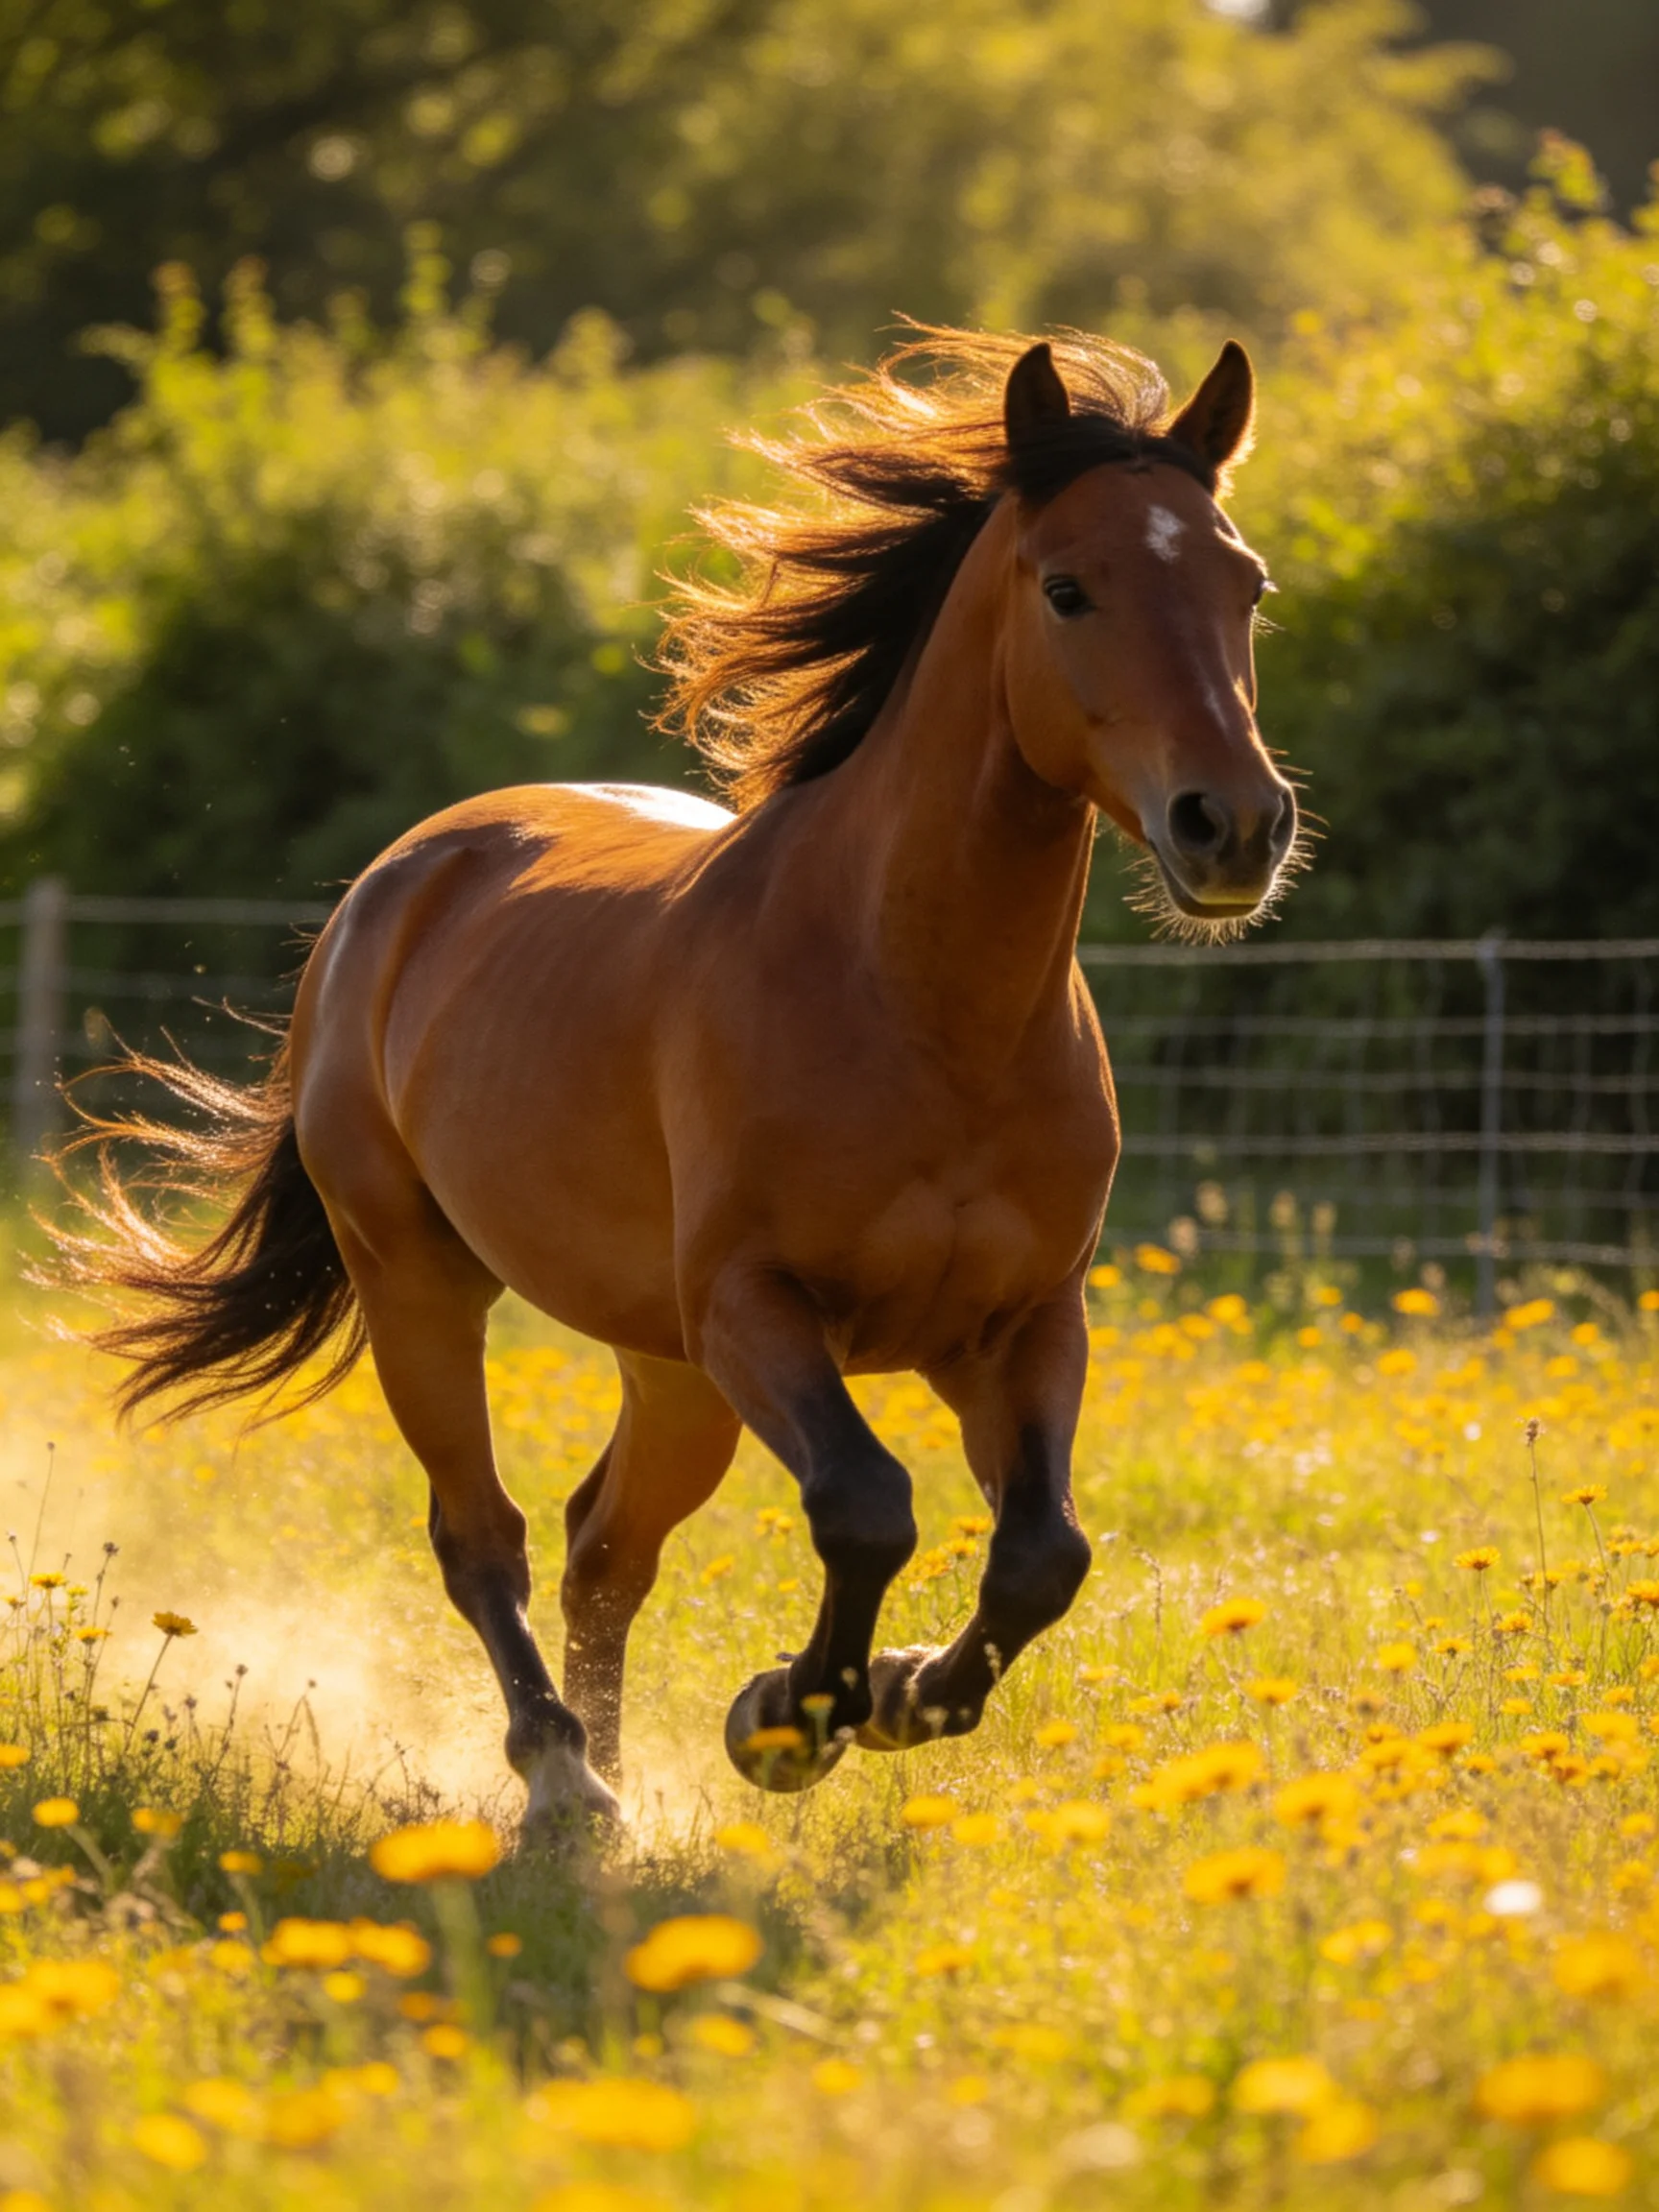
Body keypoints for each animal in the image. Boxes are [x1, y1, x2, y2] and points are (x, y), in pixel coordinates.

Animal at [57, 326, 1300, 1828]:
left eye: (1246, 584)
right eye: (1069, 588)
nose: (1234, 826)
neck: (921, 1006)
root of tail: (397, 884)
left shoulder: (1019, 1324)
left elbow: (1042, 1554)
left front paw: (888, 1699)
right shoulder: (756, 1308)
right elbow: (867, 1505)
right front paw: (790, 1718)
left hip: (666, 1367)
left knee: (606, 1546)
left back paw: (609, 1769)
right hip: (425, 1280)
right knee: (485, 1532)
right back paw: (562, 1777)